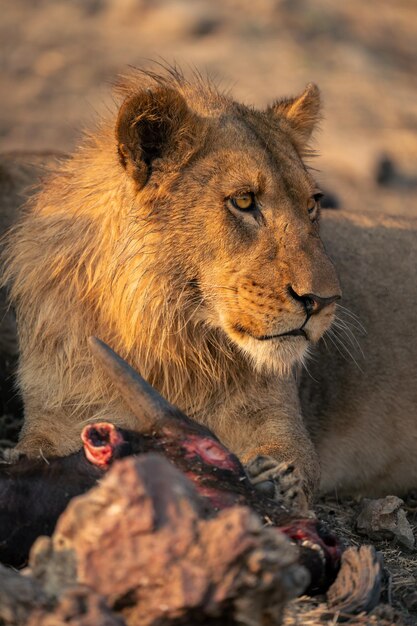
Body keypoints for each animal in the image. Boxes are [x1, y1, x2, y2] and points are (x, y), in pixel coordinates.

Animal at [2, 68, 416, 510]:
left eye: (312, 205)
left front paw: (266, 483)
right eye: (244, 201)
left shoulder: (278, 421)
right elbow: (38, 453)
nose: (323, 301)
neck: (166, 339)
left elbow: (288, 464)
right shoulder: (56, 415)